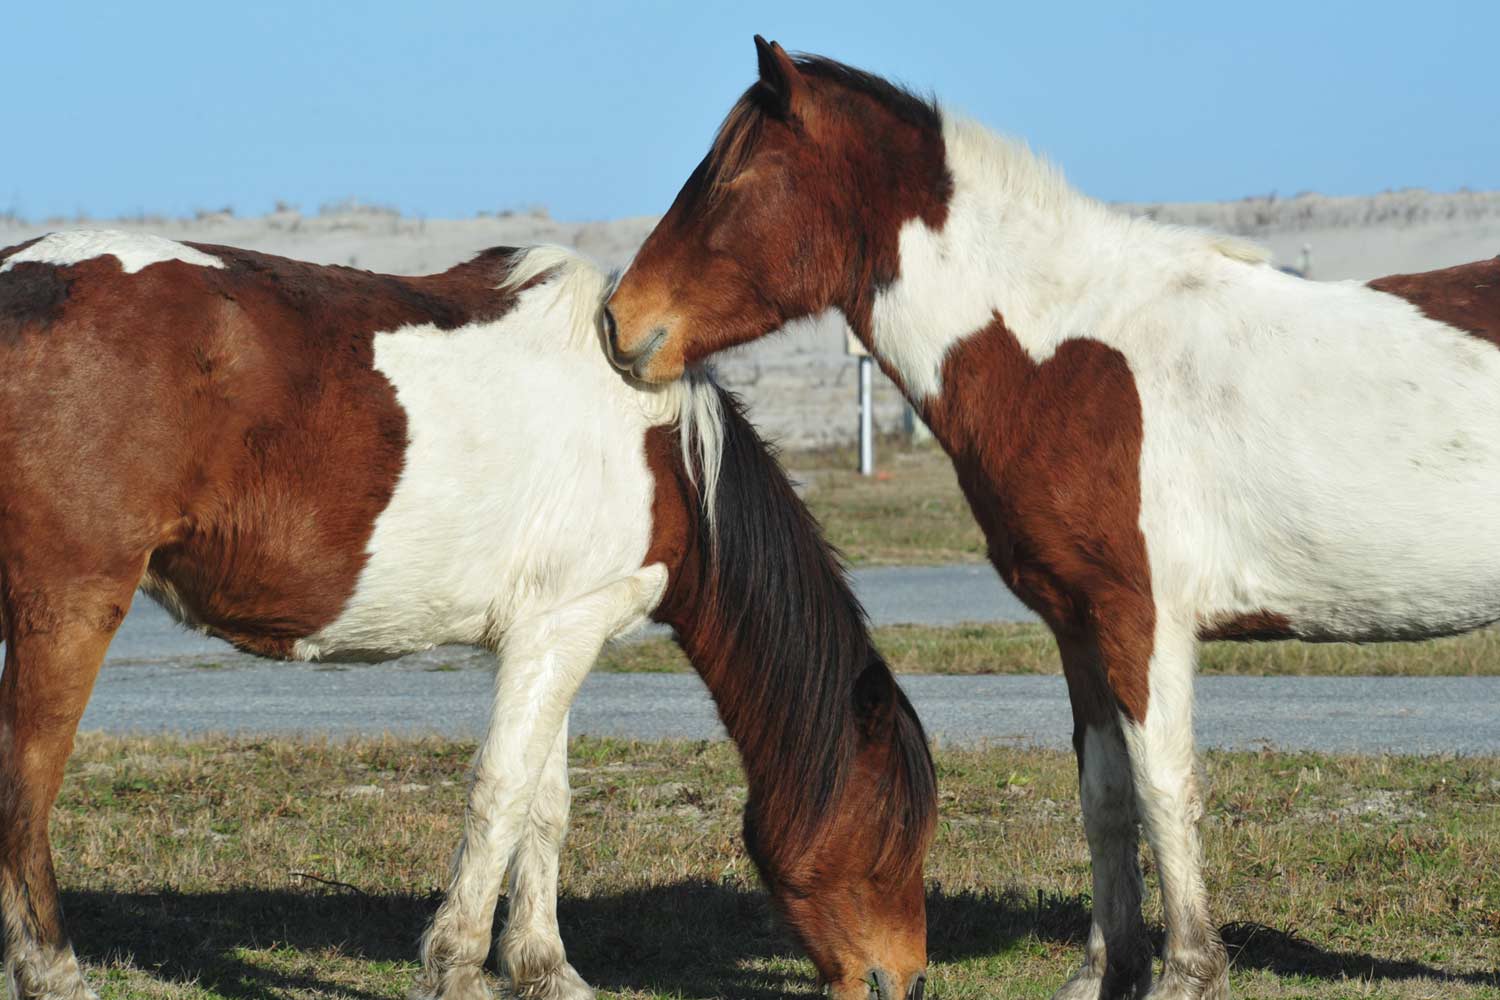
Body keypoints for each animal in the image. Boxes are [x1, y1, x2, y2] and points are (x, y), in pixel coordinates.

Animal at [0, 231, 937, 1000]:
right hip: (68, 605)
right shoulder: (562, 630)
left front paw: (545, 967)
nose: (909, 979)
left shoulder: (549, 634)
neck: (662, 450)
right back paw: (54, 972)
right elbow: (500, 792)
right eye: (895, 833)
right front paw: (456, 965)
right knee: (27, 783)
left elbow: (543, 802)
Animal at [604, 37, 1500, 1000]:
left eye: (732, 175)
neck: (1058, 350)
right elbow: (1104, 796)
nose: (619, 322)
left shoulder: (1142, 619)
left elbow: (1163, 787)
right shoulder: (1078, 624)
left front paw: (1186, 973)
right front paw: (1106, 969)